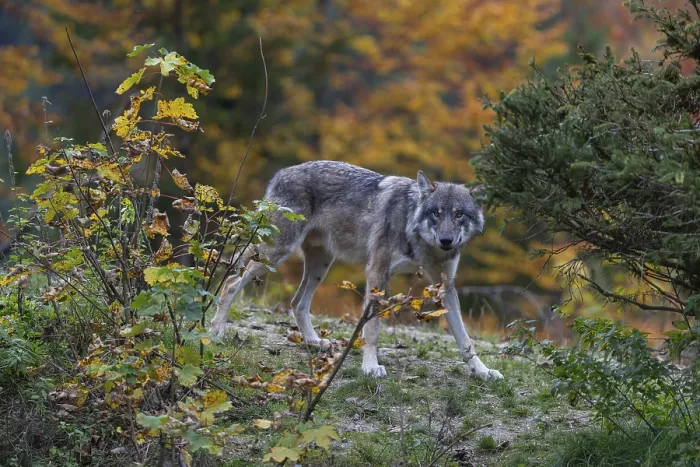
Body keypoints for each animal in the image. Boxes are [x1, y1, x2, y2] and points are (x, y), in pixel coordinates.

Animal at [209, 161, 503, 381]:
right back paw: (216, 332)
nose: (446, 241)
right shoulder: (377, 272)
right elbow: (371, 329)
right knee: (231, 282)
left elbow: (465, 340)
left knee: (297, 302)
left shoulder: (446, 287)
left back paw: (314, 342)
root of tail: (280, 173)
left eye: (459, 214)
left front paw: (483, 371)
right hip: (276, 254)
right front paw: (371, 366)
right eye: (436, 213)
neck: (420, 241)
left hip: (320, 265)